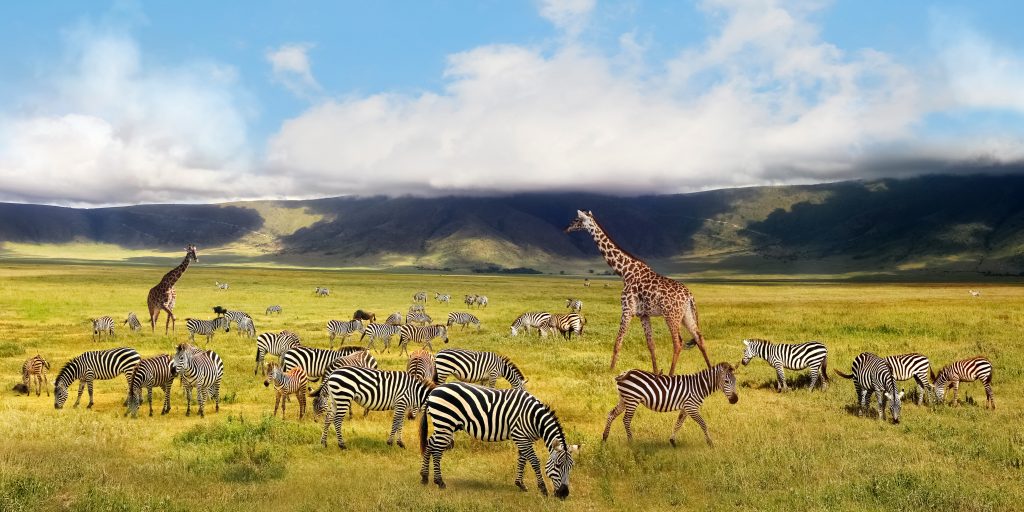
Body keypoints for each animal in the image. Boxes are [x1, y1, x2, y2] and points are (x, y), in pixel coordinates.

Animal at [419, 382, 577, 498]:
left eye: (571, 467)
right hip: (445, 422)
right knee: (437, 450)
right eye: (557, 466)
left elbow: (522, 459)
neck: (534, 418)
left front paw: (520, 484)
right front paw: (542, 489)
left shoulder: (525, 438)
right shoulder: (520, 436)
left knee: (430, 443)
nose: (564, 494)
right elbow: (534, 461)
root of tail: (433, 391)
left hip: (444, 425)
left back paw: (425, 477)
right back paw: (439, 482)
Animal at [565, 210, 710, 375]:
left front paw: (610, 370)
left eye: (577, 220)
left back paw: (671, 375)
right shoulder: (643, 314)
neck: (624, 272)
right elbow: (651, 345)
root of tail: (689, 296)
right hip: (686, 315)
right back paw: (712, 372)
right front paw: (655, 372)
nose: (566, 228)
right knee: (699, 338)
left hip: (671, 315)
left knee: (678, 343)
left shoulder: (627, 309)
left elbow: (618, 342)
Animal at [602, 363, 739, 447]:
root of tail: (626, 372)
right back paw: (631, 442)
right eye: (726, 381)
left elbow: (678, 423)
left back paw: (604, 437)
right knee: (626, 420)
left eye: (735, 381)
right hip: (632, 399)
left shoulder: (685, 407)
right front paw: (710, 443)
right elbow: (703, 424)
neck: (700, 386)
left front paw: (672, 441)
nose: (735, 400)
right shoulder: (692, 407)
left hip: (624, 399)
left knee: (611, 414)